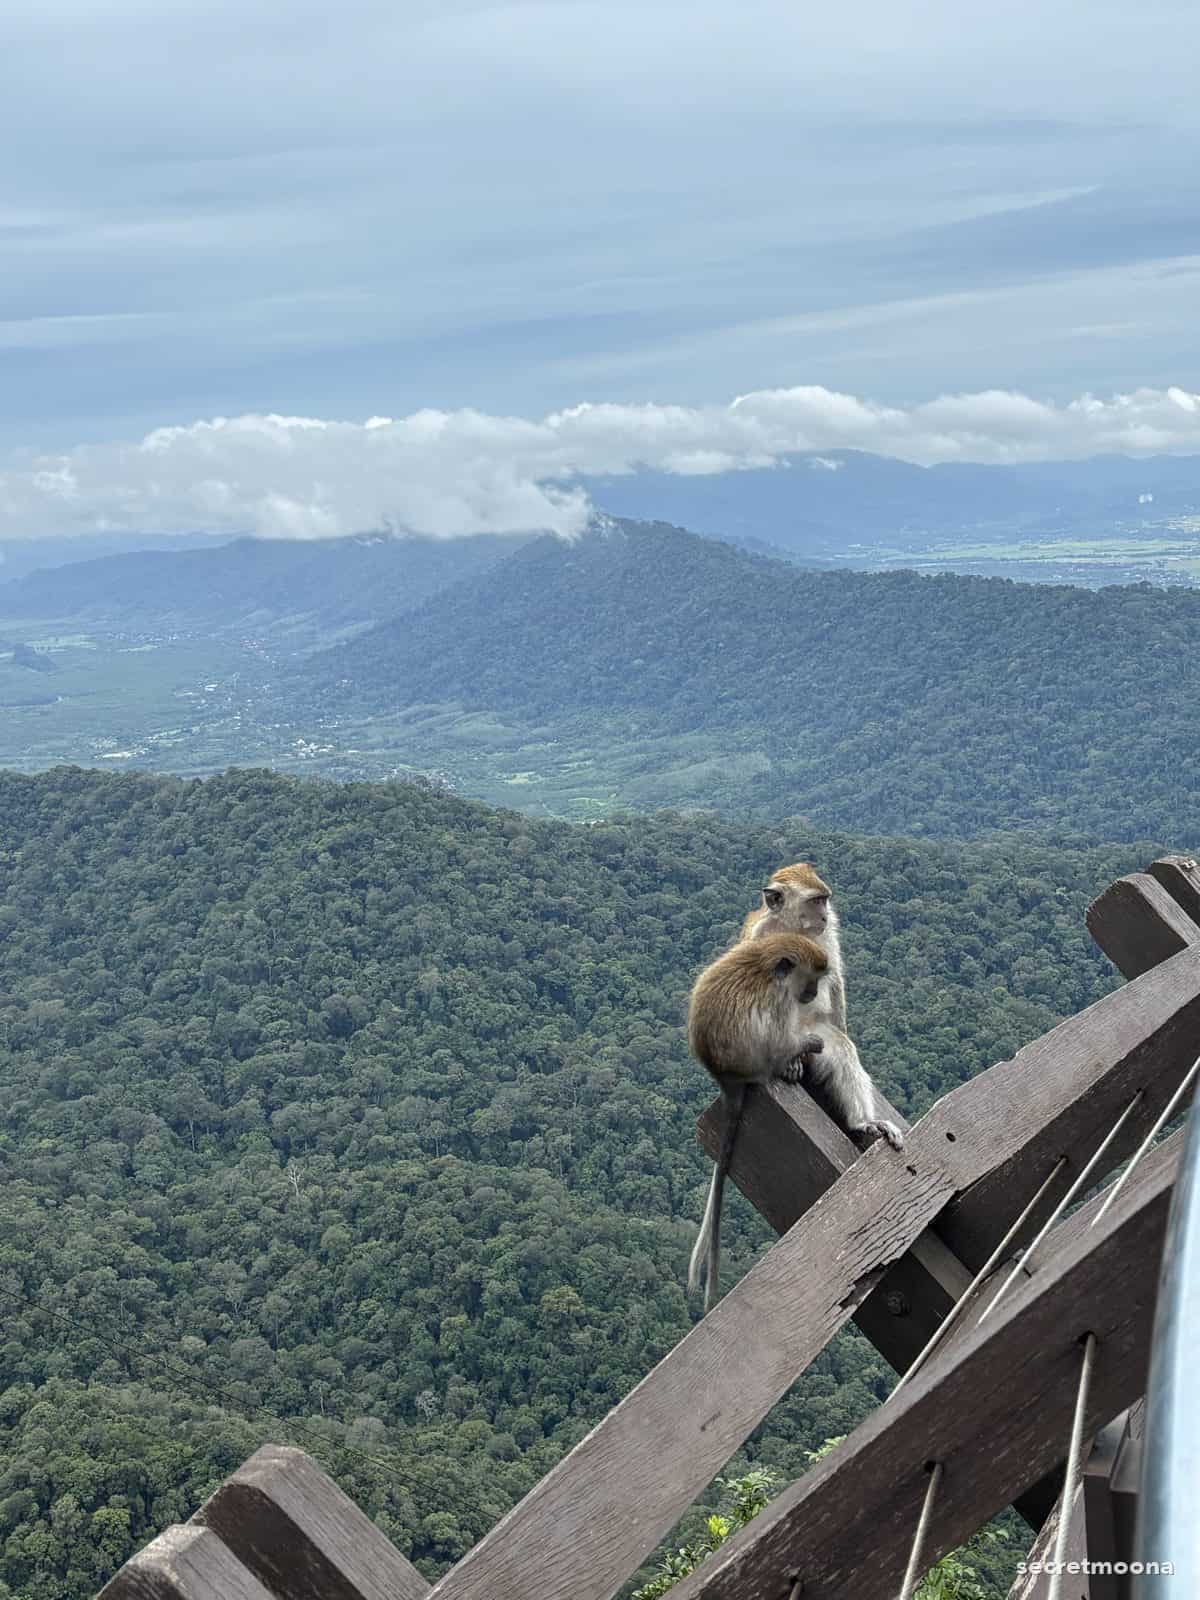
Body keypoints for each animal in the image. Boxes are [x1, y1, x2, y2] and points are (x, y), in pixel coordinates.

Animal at [687, 931, 903, 1312]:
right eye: (810, 979)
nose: (812, 993)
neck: (770, 971)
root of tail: (726, 1079)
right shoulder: (779, 1002)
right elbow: (782, 1038)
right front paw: (799, 1050)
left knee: (837, 1046)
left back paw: (864, 1125)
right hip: (757, 1062)